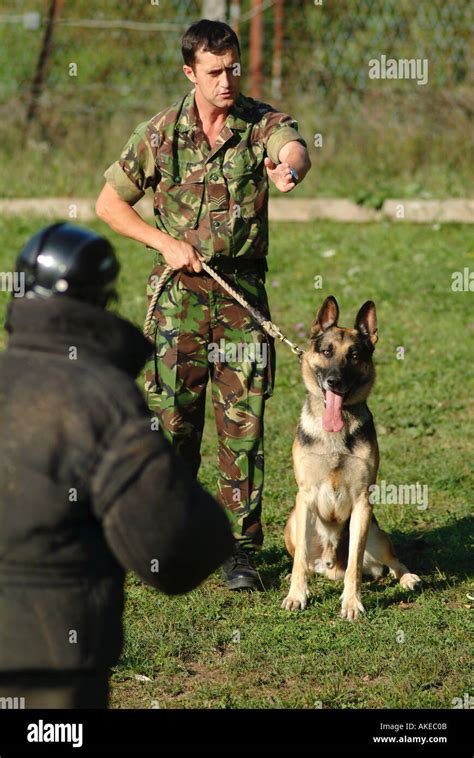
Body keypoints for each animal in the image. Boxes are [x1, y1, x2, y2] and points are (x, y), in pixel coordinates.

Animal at [284, 294, 420, 620]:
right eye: (327, 352)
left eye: (355, 355)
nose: (334, 381)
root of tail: (330, 565)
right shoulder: (305, 497)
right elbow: (300, 560)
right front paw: (297, 595)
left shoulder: (362, 502)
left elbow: (355, 565)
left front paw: (351, 602)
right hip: (293, 521)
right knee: (305, 562)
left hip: (375, 532)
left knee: (390, 561)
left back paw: (408, 577)